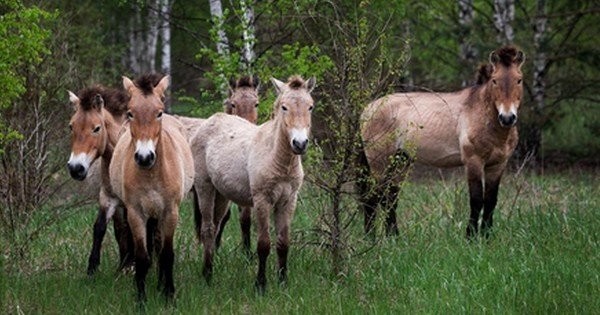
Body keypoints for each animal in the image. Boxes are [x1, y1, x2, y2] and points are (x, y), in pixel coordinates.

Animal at [67, 86, 135, 274]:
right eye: (71, 127)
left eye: (96, 128)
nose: (76, 168)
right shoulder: (108, 197)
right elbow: (100, 227)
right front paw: (93, 268)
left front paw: (133, 266)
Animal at [108, 74, 192, 304]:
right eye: (130, 113)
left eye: (159, 113)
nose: (144, 157)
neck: (151, 175)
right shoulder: (136, 214)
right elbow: (142, 257)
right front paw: (141, 299)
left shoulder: (170, 212)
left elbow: (167, 254)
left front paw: (169, 295)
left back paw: (162, 284)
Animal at [192, 75, 316, 292]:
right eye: (284, 107)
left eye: (310, 107)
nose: (299, 144)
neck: (277, 158)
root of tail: (211, 121)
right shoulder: (262, 201)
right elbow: (263, 244)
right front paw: (261, 285)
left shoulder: (288, 201)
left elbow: (283, 243)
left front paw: (283, 282)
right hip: (205, 188)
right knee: (207, 229)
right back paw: (207, 275)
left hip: (222, 195)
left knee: (215, 226)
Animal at [360, 45, 524, 239]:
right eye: (494, 81)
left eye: (519, 80)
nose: (507, 118)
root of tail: (367, 109)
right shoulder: (473, 162)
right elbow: (476, 200)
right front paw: (470, 237)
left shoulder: (497, 165)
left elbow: (490, 201)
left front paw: (486, 237)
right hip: (379, 163)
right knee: (373, 198)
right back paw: (370, 238)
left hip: (401, 161)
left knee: (390, 198)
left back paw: (394, 237)